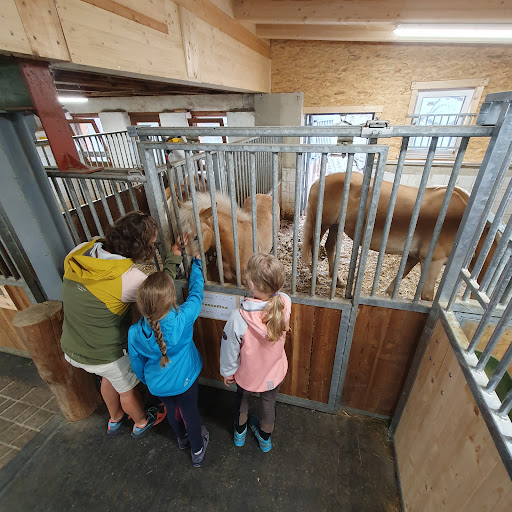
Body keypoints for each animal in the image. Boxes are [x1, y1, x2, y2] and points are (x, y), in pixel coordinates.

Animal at [301, 172, 494, 301]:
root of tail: (320, 180)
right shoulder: (433, 261)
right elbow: (427, 295)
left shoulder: (414, 256)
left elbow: (402, 274)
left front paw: (388, 294)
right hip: (323, 223)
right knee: (314, 245)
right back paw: (316, 277)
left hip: (336, 225)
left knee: (330, 246)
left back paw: (339, 280)